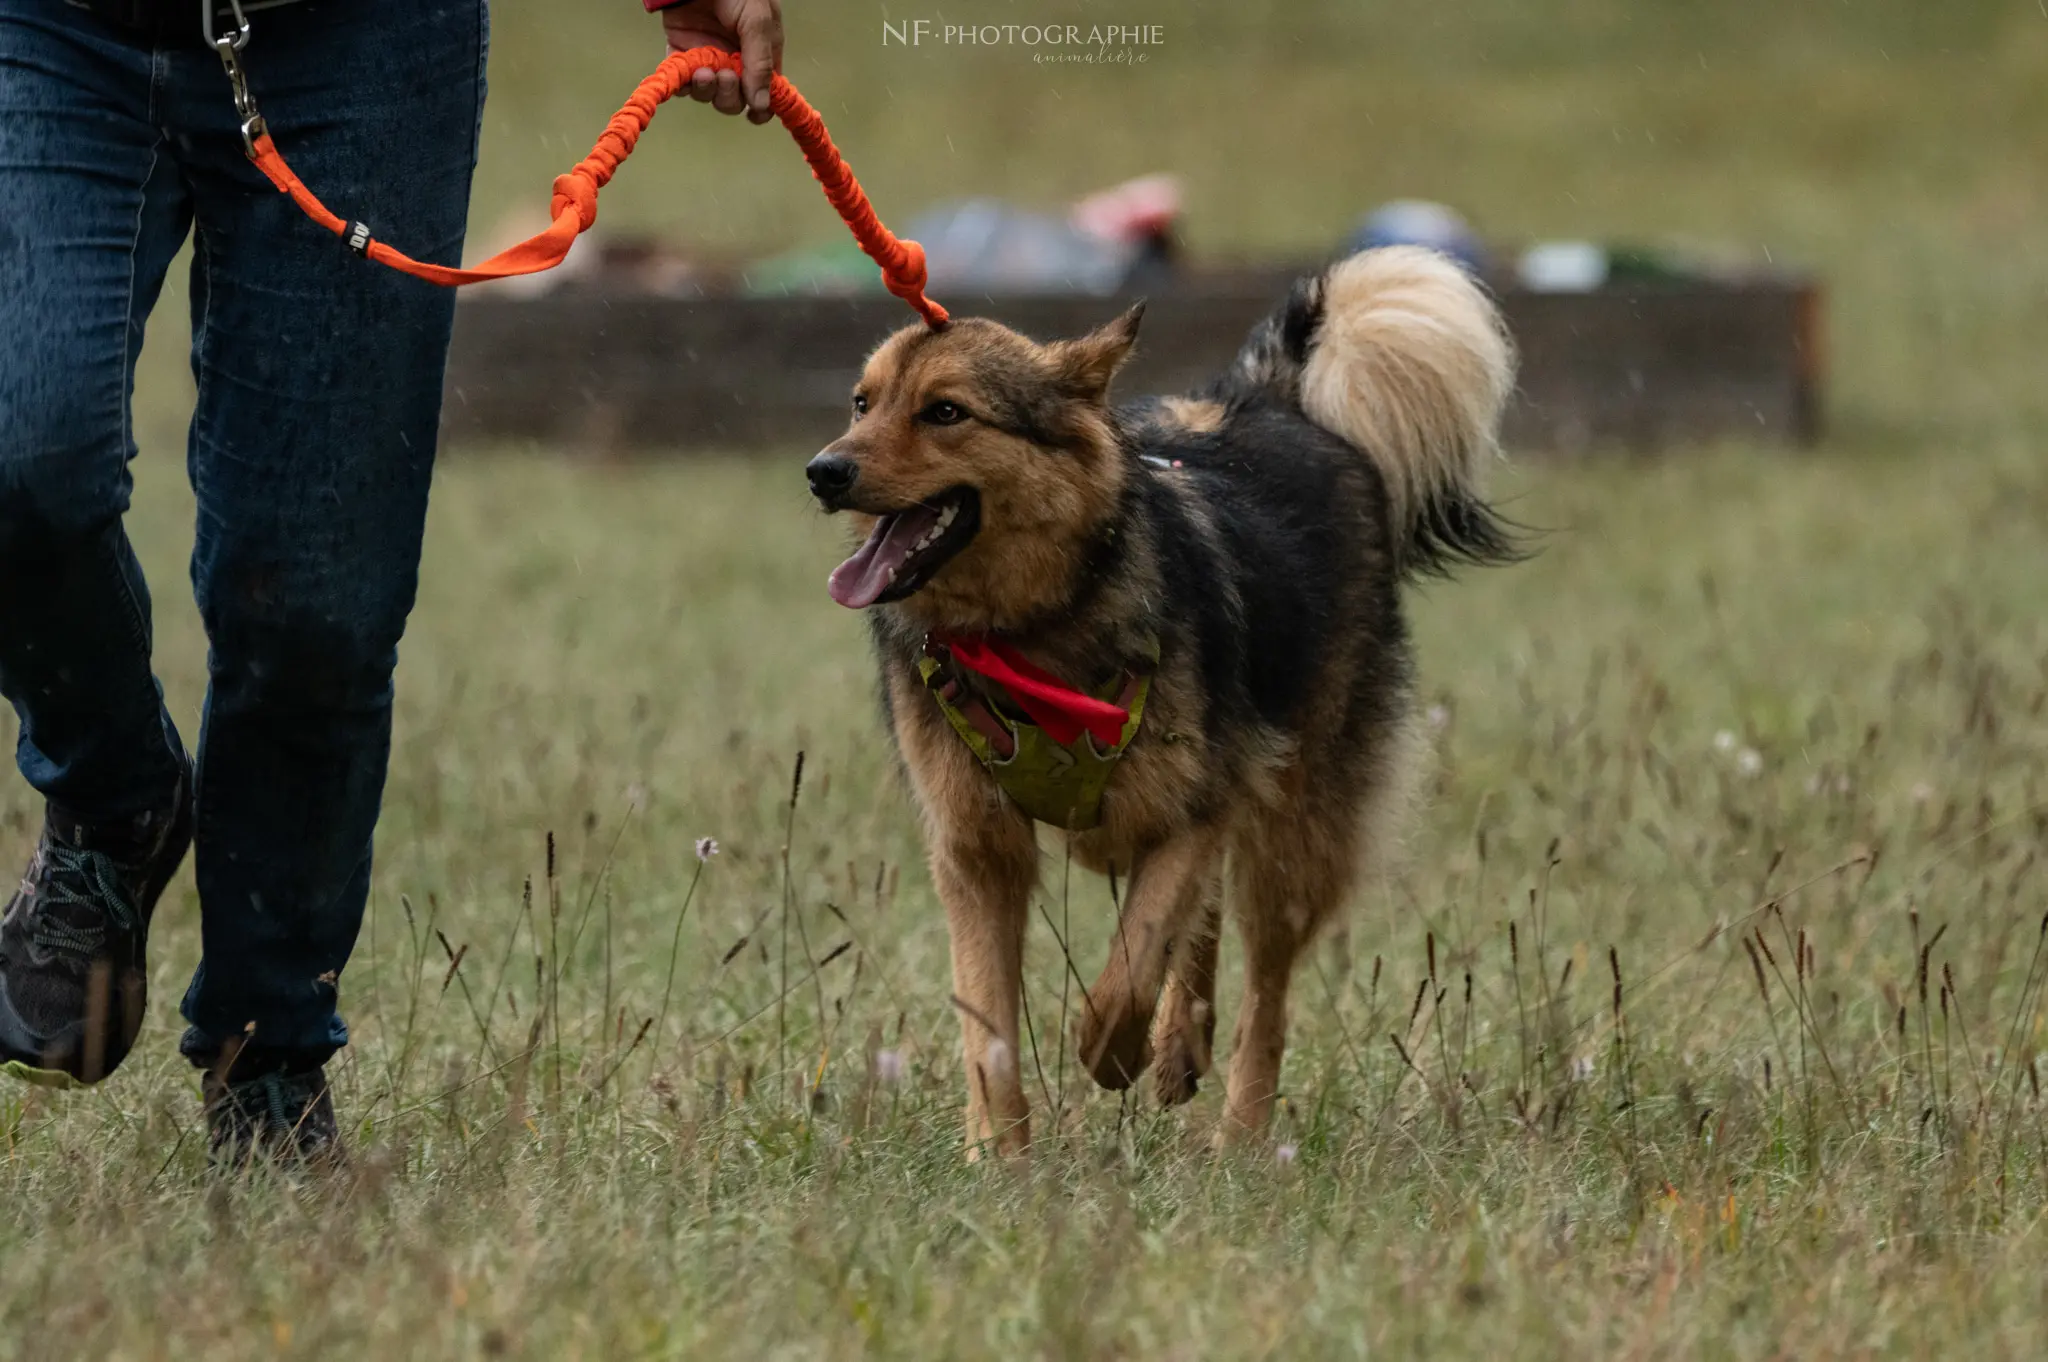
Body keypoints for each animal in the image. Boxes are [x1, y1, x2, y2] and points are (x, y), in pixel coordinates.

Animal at [802, 246, 1523, 1155]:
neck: (1033, 627)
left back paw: (1242, 1133)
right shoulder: (976, 845)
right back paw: (1184, 1048)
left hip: (1296, 836)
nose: (823, 472)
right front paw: (998, 1152)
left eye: (945, 412)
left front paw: (1110, 1054)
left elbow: (1130, 967)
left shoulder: (1190, 810)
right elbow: (988, 1020)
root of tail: (1269, 400)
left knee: (1266, 993)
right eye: (862, 402)